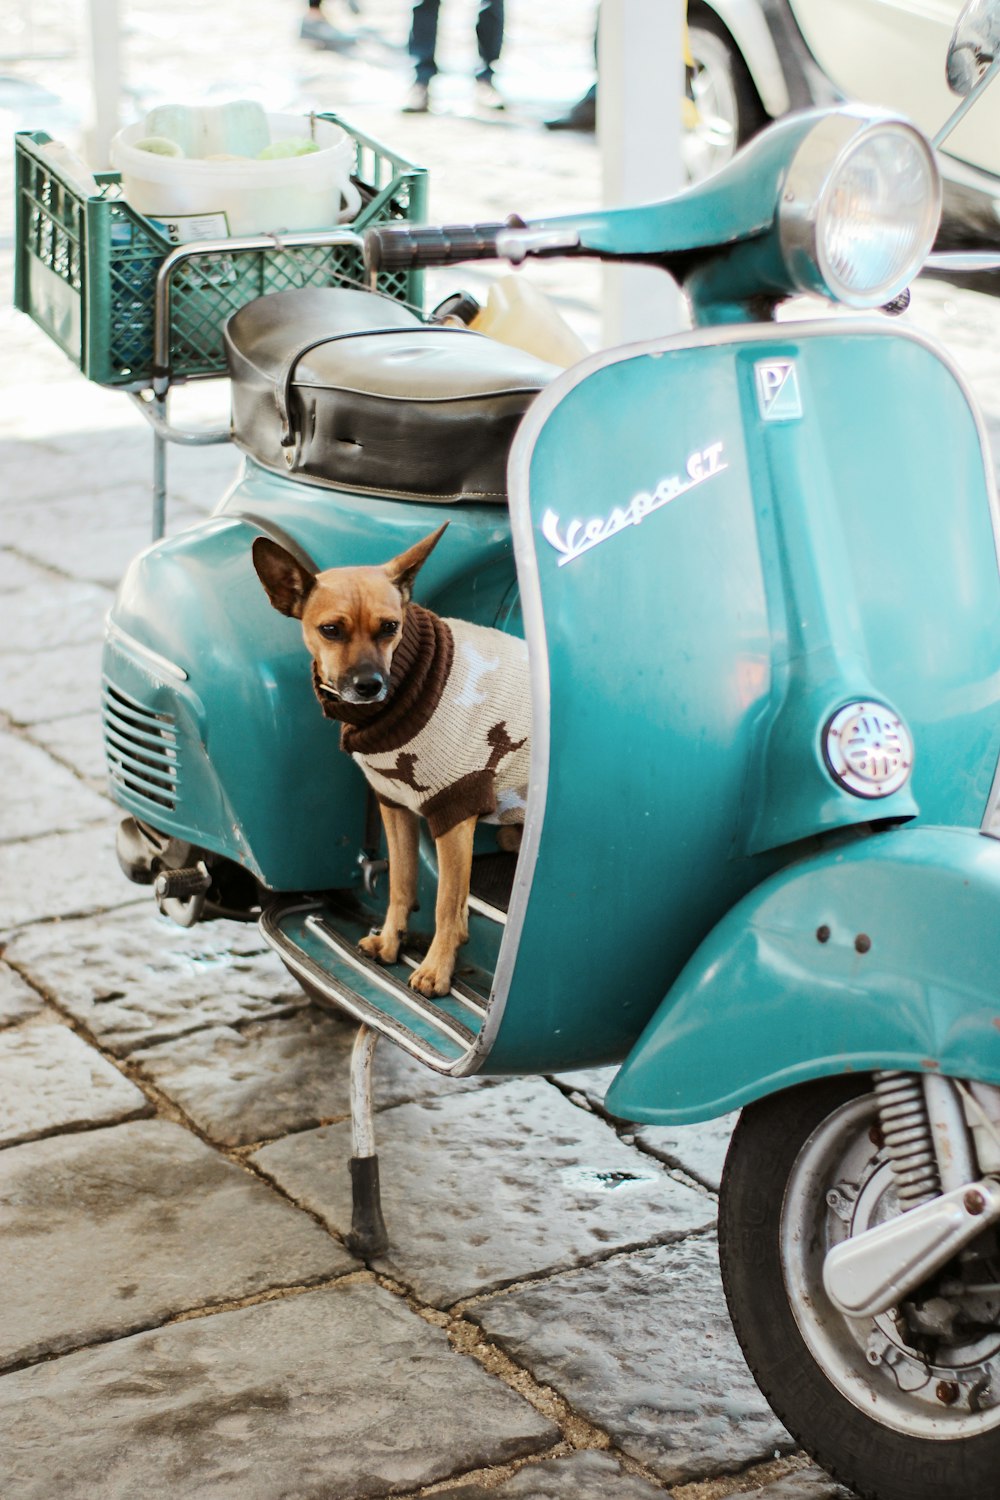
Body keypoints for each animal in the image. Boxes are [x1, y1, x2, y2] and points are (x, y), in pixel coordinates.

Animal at [250, 522, 530, 1002]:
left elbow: (447, 906)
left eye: (390, 628)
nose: (369, 685)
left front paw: (436, 968)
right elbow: (401, 883)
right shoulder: (394, 804)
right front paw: (390, 941)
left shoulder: (454, 815)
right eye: (330, 630)